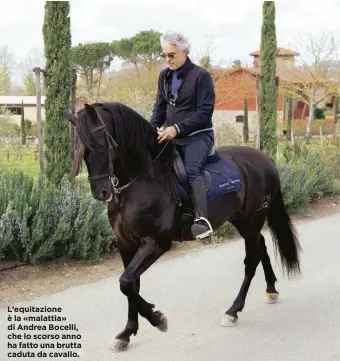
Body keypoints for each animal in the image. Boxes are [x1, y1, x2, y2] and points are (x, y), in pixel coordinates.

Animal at [62, 101, 302, 348]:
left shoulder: (156, 243)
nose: (101, 192)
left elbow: (126, 282)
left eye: (100, 143)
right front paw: (127, 332)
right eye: (80, 150)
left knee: (251, 261)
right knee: (261, 245)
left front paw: (158, 319)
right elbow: (131, 285)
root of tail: (266, 159)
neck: (141, 181)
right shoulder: (125, 244)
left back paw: (233, 311)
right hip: (243, 221)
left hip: (251, 220)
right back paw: (271, 290)